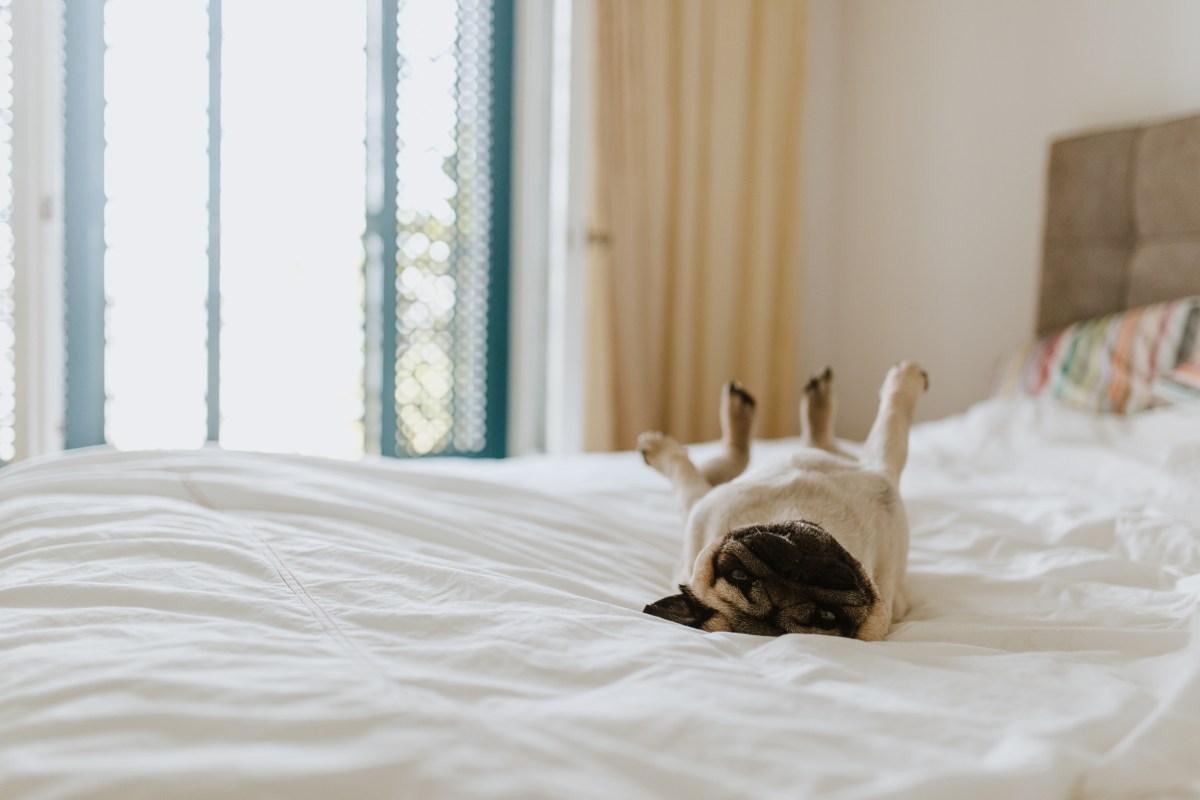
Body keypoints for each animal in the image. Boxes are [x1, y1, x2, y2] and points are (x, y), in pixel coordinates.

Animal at [638, 362, 926, 638]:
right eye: (827, 616)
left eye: (738, 576)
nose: (793, 574)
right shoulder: (881, 467)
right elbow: (893, 420)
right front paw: (906, 380)